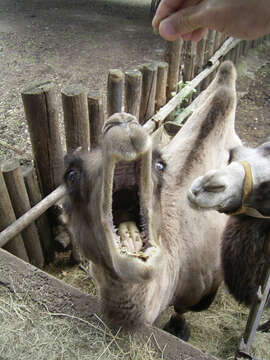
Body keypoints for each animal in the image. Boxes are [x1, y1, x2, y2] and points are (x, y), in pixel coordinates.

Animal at [63, 60, 240, 338]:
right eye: (71, 175)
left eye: (160, 165)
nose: (121, 121)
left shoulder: (202, 288)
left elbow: (182, 308)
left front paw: (178, 328)